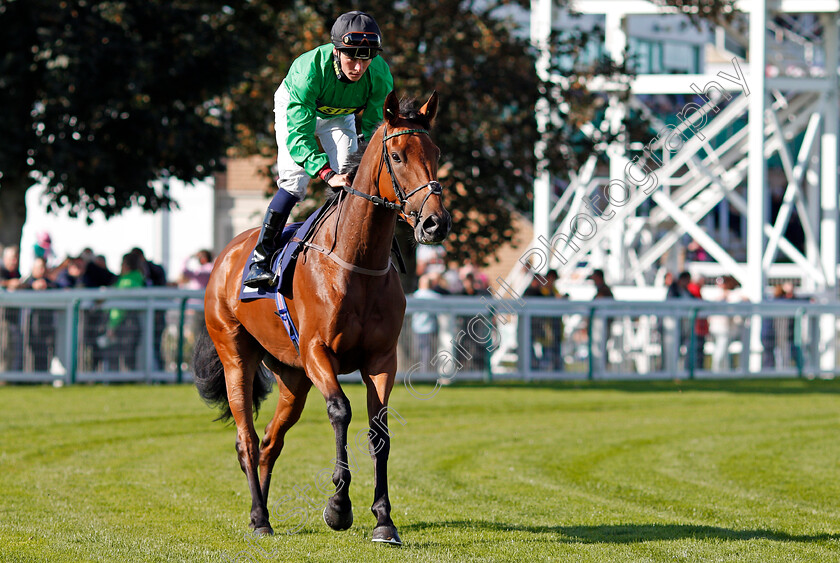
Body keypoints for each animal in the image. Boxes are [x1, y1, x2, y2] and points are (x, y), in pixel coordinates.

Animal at [194, 93, 450, 548]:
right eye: (397, 155)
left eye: (436, 153)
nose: (435, 222)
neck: (355, 261)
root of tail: (226, 255)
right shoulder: (318, 351)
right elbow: (340, 411)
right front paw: (339, 507)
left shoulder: (382, 359)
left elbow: (379, 431)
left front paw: (384, 520)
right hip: (236, 357)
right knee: (246, 439)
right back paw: (258, 518)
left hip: (292, 378)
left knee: (270, 442)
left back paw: (263, 511)